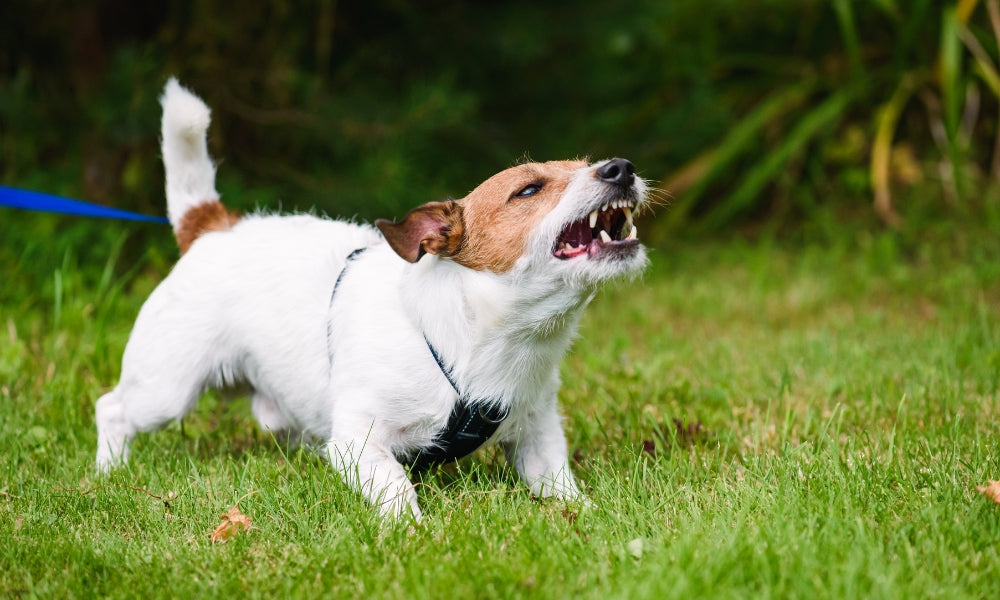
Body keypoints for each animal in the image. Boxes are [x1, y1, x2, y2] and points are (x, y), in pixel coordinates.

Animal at [95, 78, 648, 520]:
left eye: (588, 164)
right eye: (528, 190)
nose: (622, 167)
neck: (481, 338)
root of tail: (212, 226)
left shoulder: (537, 432)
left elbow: (557, 481)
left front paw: (587, 516)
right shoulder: (358, 441)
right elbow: (396, 486)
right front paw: (412, 531)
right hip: (166, 387)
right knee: (112, 408)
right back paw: (108, 472)